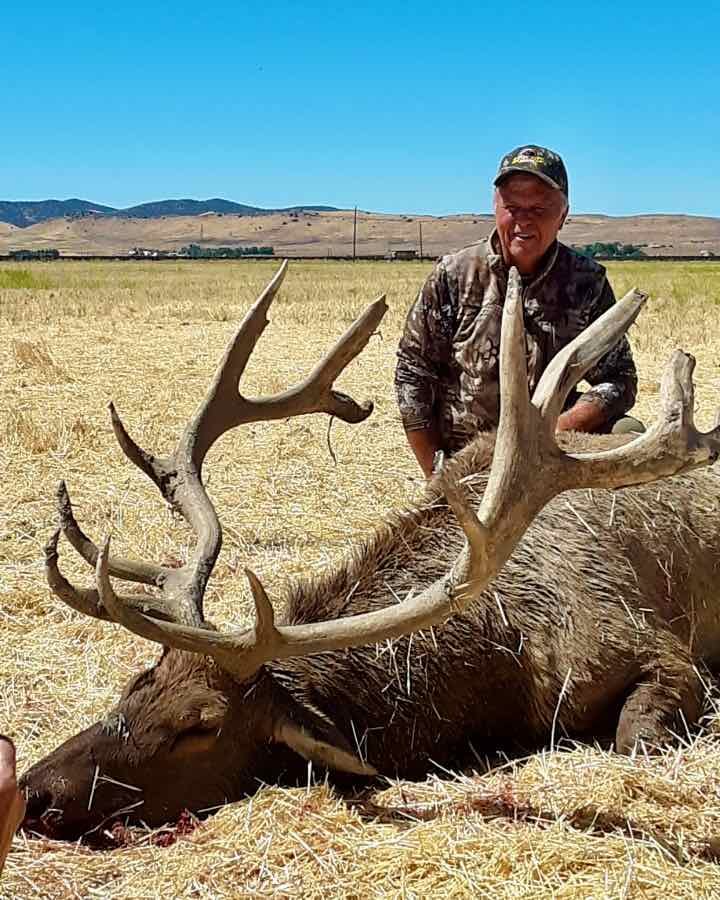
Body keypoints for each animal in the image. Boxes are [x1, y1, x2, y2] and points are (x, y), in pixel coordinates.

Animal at [20, 261, 720, 842]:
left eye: (202, 726)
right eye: (138, 680)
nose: (34, 792)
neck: (504, 667)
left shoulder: (658, 651)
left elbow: (634, 738)